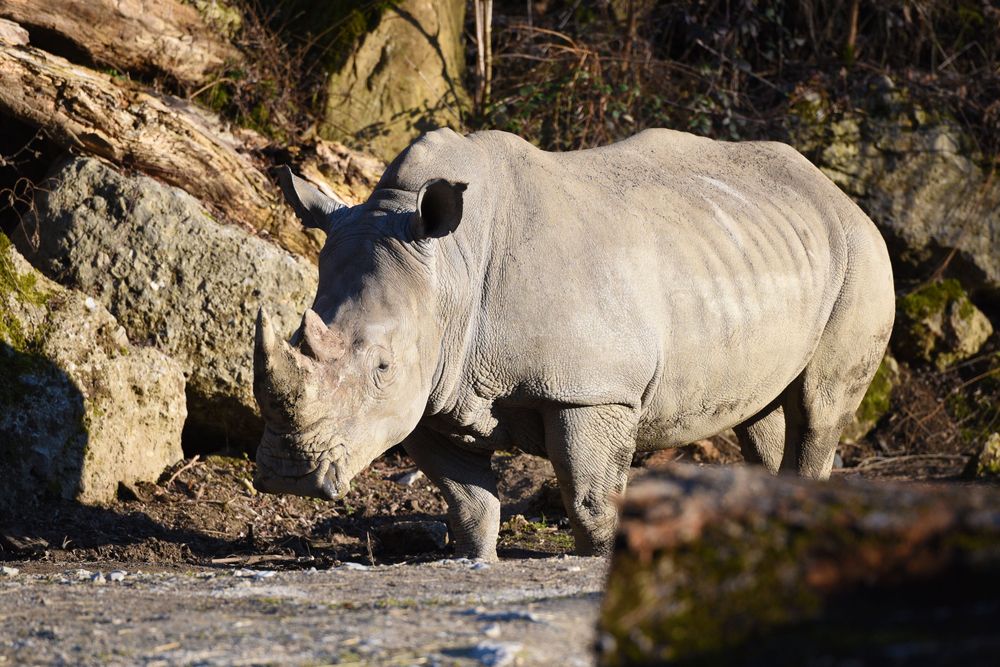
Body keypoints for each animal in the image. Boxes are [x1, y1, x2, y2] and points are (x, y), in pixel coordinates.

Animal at [253, 128, 895, 561]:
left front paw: (602, 561)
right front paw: (475, 561)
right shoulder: (431, 394)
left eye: (382, 367)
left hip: (862, 255)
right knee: (762, 415)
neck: (450, 271)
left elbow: (590, 499)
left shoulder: (591, 390)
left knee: (817, 409)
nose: (287, 475)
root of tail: (836, 192)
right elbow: (468, 504)